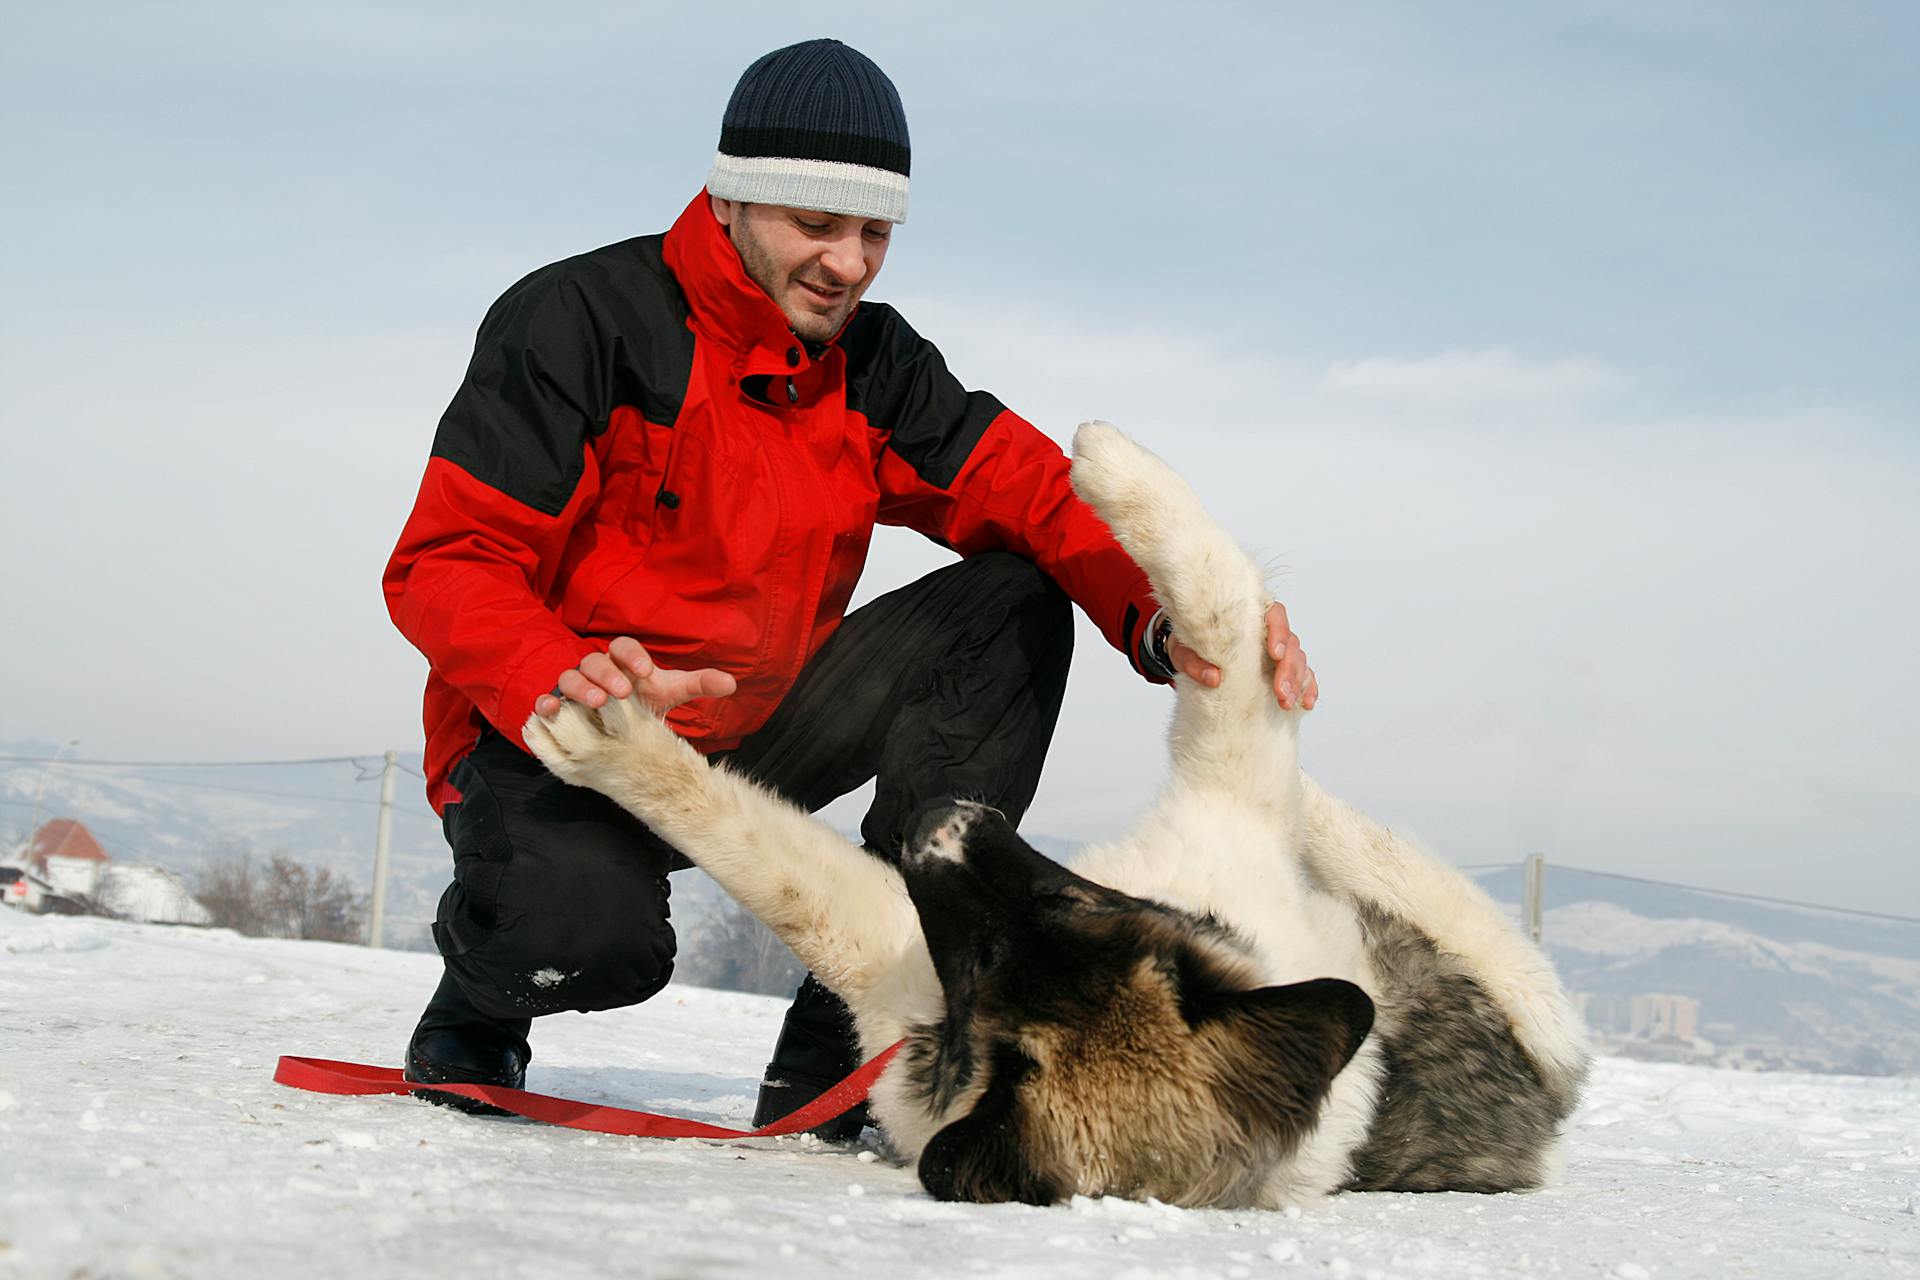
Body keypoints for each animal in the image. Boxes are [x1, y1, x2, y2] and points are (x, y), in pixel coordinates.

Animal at [529, 422, 1589, 1212]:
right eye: (1083, 912)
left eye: (999, 968)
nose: (941, 823)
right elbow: (1217, 616)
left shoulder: (892, 947)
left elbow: (757, 851)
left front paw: (609, 738)